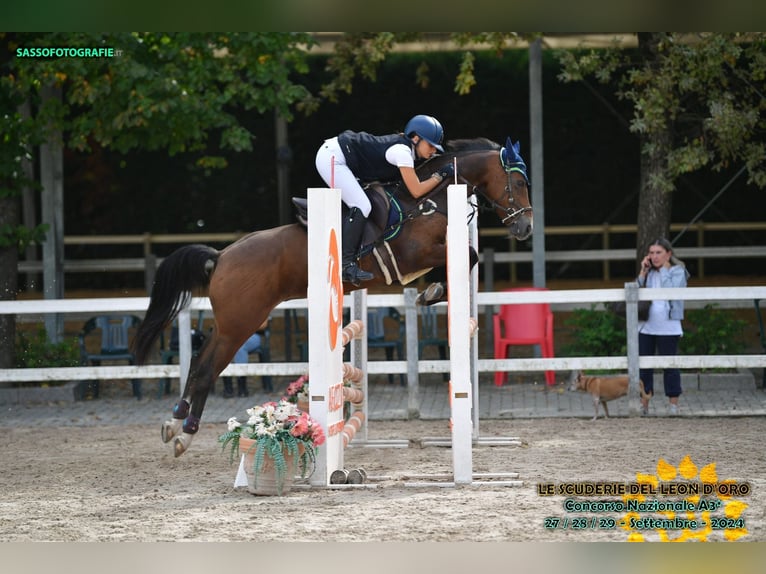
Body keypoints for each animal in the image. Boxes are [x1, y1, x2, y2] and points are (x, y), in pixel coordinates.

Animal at [134, 136, 536, 460]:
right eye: (518, 182)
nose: (525, 228)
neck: (425, 201)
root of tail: (221, 257)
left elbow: (467, 256)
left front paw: (432, 291)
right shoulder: (416, 254)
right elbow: (469, 255)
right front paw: (434, 291)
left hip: (230, 323)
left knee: (198, 362)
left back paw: (174, 423)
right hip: (240, 326)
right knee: (207, 370)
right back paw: (185, 434)